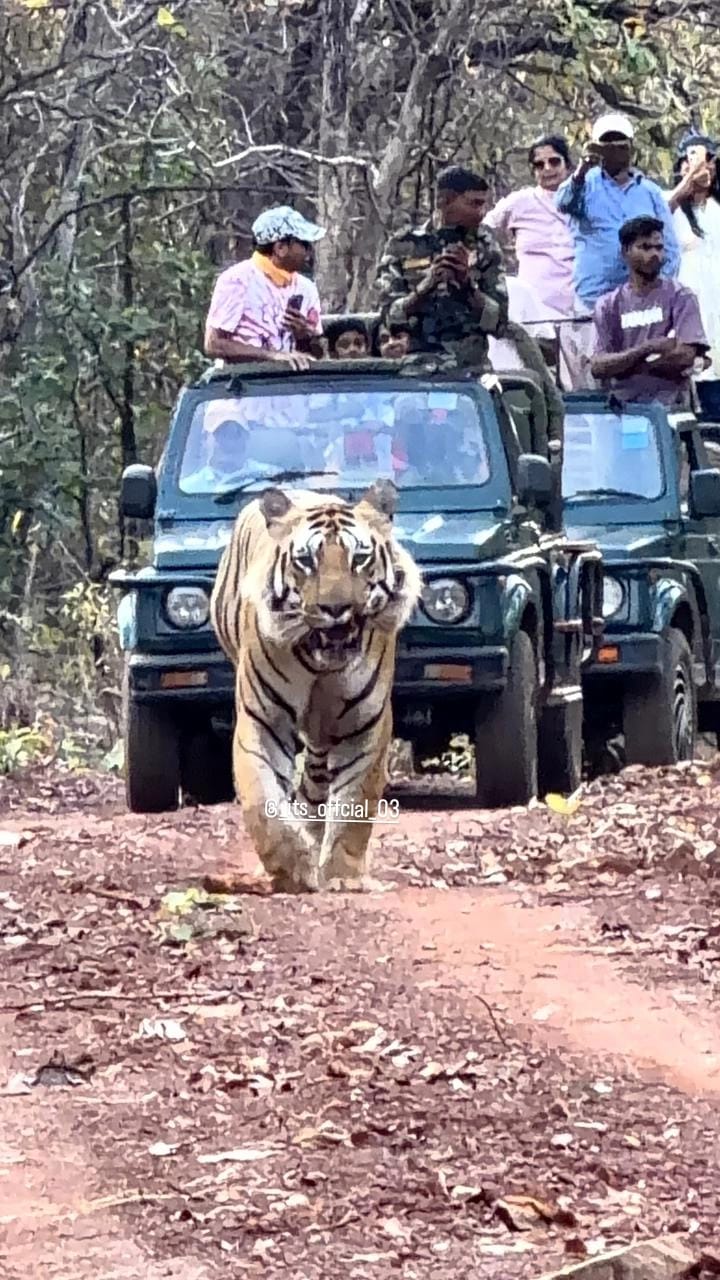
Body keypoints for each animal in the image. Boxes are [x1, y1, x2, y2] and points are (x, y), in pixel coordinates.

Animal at [210, 478, 422, 893]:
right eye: (306, 560)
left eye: (360, 558)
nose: (335, 608)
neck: (322, 665)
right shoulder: (262, 721)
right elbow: (263, 802)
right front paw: (293, 868)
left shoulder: (366, 724)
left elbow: (355, 803)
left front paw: (341, 876)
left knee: (316, 781)